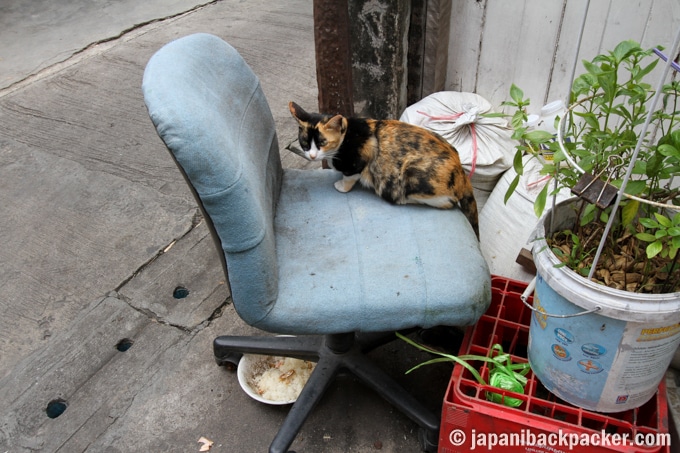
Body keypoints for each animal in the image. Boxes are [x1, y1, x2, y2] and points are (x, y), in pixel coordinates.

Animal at [290, 100, 480, 238]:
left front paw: (341, 187)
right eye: (305, 143)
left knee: (446, 202)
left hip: (411, 174)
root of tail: (462, 174)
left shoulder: (357, 161)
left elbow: (349, 176)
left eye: (322, 143)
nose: (312, 156)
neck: (346, 135)